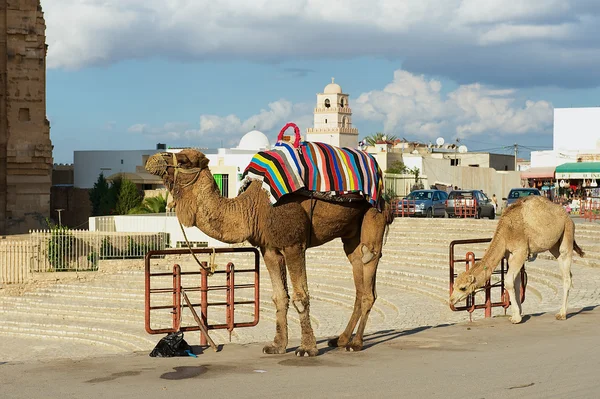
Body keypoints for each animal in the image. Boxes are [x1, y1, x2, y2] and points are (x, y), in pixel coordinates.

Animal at [146, 149, 394, 356]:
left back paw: (355, 344)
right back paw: (341, 340)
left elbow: (301, 297)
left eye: (183, 160)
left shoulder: (294, 244)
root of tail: (386, 197)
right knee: (357, 271)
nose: (152, 159)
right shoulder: (269, 249)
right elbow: (279, 297)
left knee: (368, 264)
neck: (251, 208)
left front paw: (307, 349)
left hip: (373, 215)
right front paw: (277, 346)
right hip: (351, 234)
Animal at [450, 195, 584, 324]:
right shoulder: (510, 254)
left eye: (463, 288)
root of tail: (568, 216)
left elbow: (509, 282)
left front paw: (516, 318)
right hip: (554, 245)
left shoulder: (521, 251)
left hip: (567, 230)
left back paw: (562, 314)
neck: (505, 233)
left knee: (566, 269)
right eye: (455, 285)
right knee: (566, 268)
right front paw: (517, 314)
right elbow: (516, 283)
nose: (451, 300)